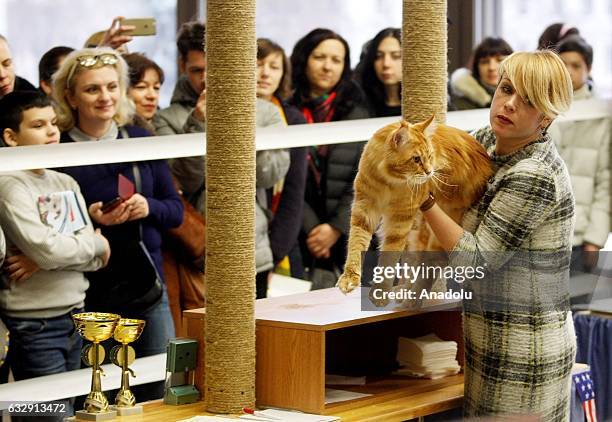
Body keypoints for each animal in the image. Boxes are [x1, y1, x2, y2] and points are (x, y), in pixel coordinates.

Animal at [334, 114, 492, 294]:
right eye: (416, 159)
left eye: (430, 156)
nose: (429, 172)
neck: (388, 182)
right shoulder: (365, 207)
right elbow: (356, 243)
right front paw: (350, 278)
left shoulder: (400, 219)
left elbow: (390, 255)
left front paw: (381, 289)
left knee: (430, 266)